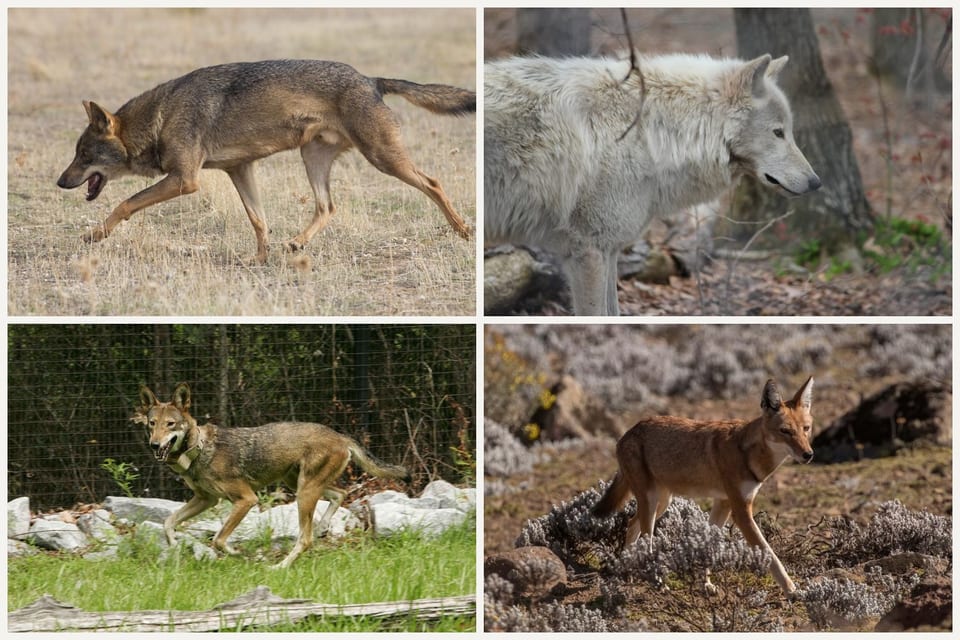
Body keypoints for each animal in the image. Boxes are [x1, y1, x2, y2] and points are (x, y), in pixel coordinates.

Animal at [57, 60, 474, 263]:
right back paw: (296, 244)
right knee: (328, 206)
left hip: (383, 158)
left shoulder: (184, 180)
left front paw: (95, 234)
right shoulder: (239, 169)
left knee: (434, 184)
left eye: (84, 155)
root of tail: (372, 79)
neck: (160, 118)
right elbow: (258, 221)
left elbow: (126, 203)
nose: (60, 182)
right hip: (313, 158)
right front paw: (258, 259)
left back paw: (464, 231)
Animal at [134, 383, 410, 568]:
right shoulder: (206, 500)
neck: (200, 450)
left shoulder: (246, 500)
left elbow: (219, 540)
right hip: (298, 484)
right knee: (339, 495)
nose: (154, 445)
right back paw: (321, 527)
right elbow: (168, 522)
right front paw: (174, 546)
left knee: (306, 538)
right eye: (151, 424)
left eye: (170, 424)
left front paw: (240, 555)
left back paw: (280, 567)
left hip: (303, 492)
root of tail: (341, 437)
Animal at [484, 53, 821, 315]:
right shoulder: (588, 251)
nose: (816, 182)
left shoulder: (607, 249)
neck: (651, 132)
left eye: (787, 131)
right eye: (778, 132)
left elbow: (614, 312)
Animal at [592, 376, 814, 594]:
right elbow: (770, 554)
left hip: (661, 503)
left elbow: (709, 544)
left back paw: (627, 573)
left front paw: (705, 584)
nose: (808, 455)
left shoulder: (724, 503)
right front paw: (791, 589)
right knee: (646, 539)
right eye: (785, 431)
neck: (748, 453)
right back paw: (658, 583)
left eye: (806, 429)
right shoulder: (741, 511)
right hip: (652, 502)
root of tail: (628, 432)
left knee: (631, 525)